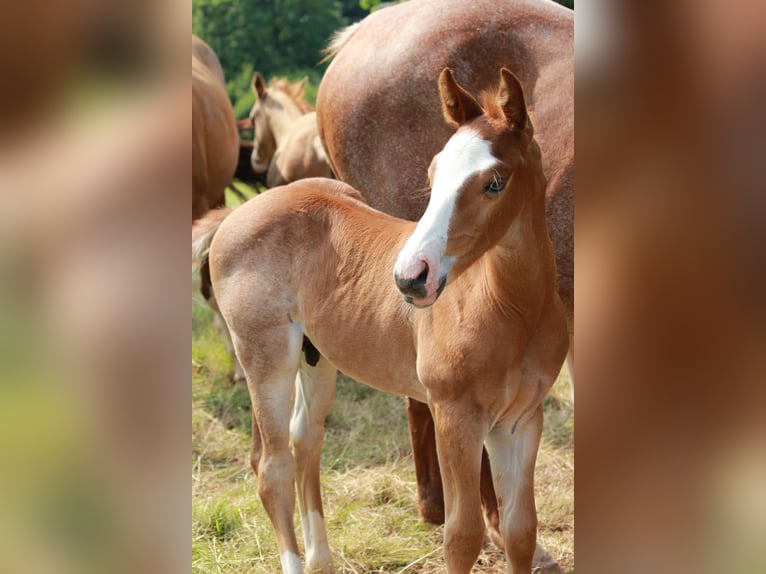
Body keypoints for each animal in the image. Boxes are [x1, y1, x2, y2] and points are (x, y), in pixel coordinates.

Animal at [193, 68, 568, 574]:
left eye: (495, 182)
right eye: (432, 174)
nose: (410, 278)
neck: (513, 308)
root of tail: (235, 214)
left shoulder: (521, 421)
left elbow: (521, 531)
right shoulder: (455, 416)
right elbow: (462, 536)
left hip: (316, 356)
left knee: (305, 440)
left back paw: (322, 559)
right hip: (265, 357)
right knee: (271, 467)